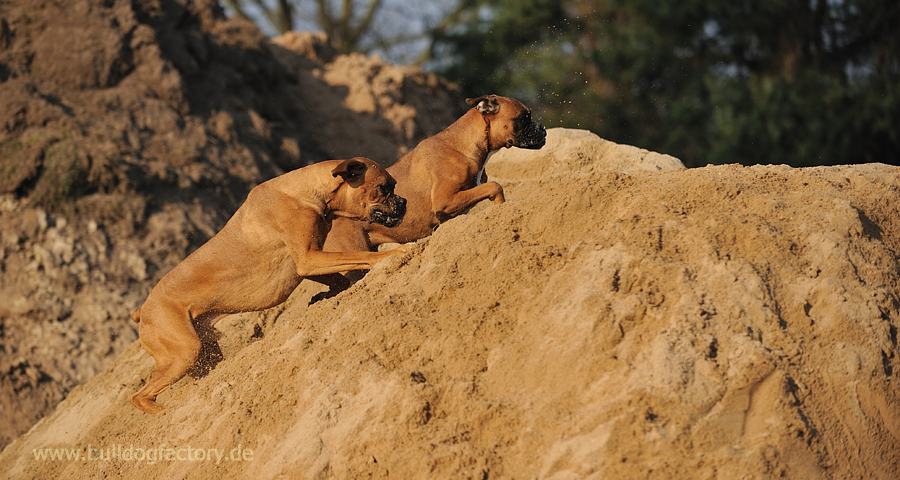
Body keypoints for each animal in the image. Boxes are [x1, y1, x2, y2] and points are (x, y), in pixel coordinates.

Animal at [324, 93, 548, 251]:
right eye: (523, 118)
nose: (543, 129)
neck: (462, 145)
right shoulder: (445, 201)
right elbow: (495, 186)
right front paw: (501, 207)